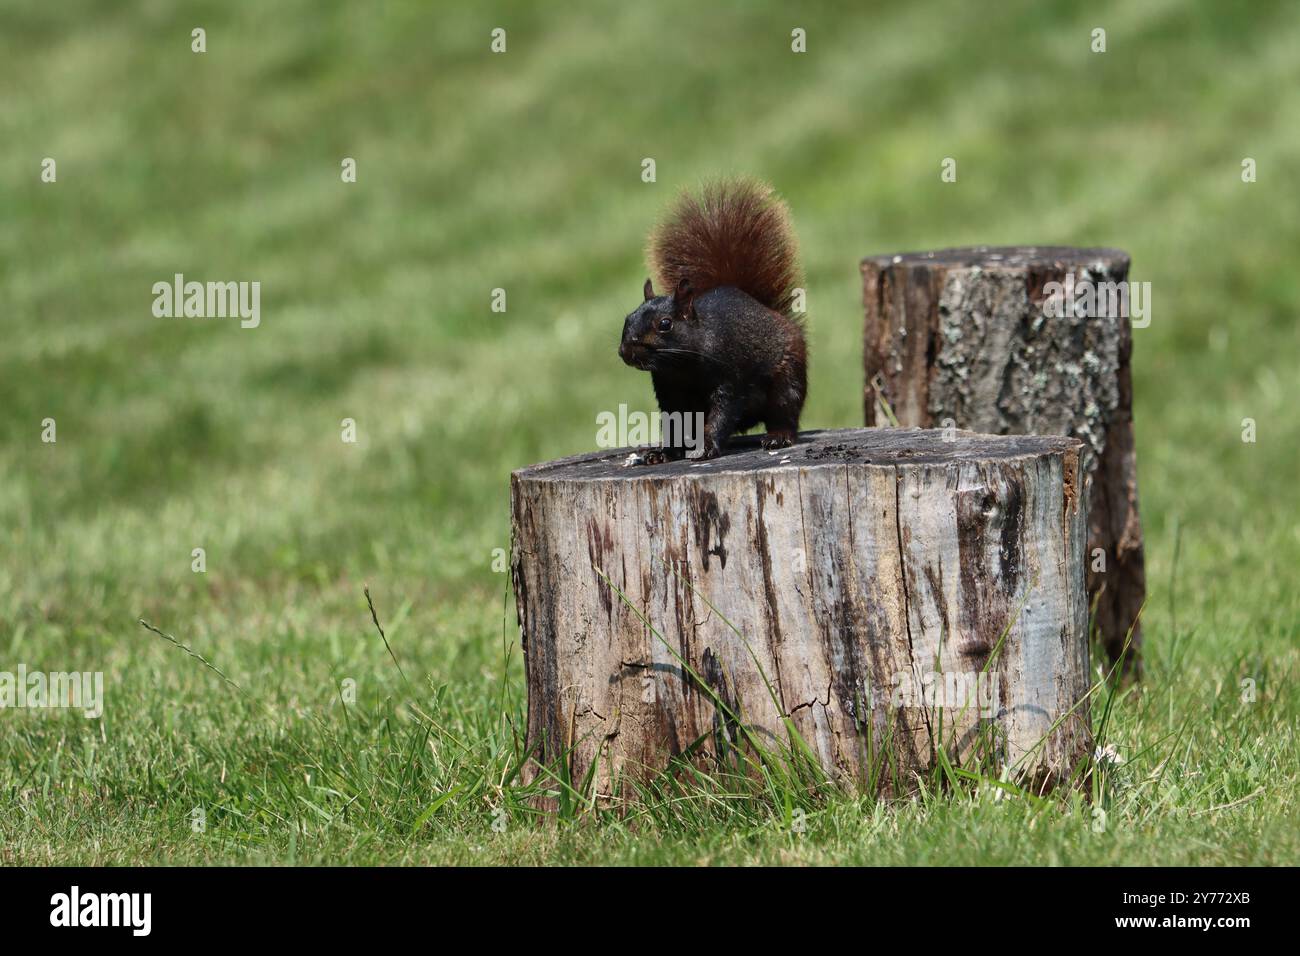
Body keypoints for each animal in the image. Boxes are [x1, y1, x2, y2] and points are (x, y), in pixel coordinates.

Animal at [618, 177, 807, 464]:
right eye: (627, 318)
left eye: (665, 324)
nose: (625, 351)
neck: (681, 367)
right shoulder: (669, 392)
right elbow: (674, 424)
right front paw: (664, 453)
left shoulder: (728, 379)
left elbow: (721, 413)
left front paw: (706, 447)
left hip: (788, 378)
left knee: (785, 412)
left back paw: (779, 436)